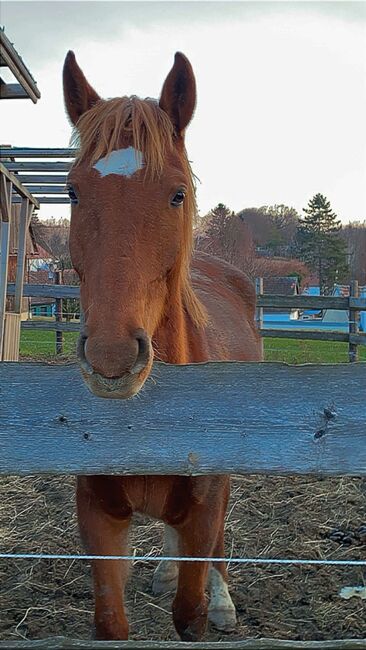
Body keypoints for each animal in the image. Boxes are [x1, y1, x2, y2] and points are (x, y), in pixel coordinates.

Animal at [63, 49, 264, 636]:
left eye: (177, 193)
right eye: (72, 191)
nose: (110, 357)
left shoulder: (204, 508)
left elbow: (190, 613)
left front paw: (210, 603)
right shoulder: (100, 519)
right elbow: (110, 621)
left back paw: (222, 599)